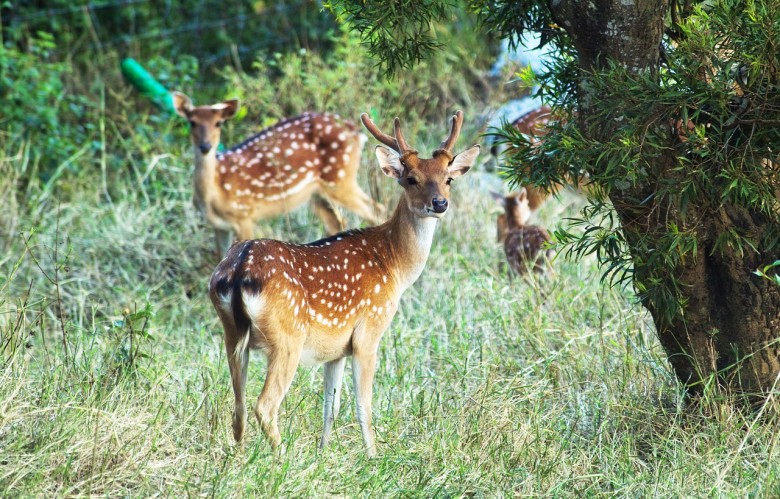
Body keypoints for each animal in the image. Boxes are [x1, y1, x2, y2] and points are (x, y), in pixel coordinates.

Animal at [174, 91, 386, 254]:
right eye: (192, 122)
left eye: (219, 123)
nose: (205, 146)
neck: (216, 193)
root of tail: (357, 132)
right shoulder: (219, 226)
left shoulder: (245, 215)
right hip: (317, 193)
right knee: (338, 223)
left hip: (339, 179)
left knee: (376, 209)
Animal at [210, 110, 482, 458]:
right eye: (411, 179)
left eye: (448, 179)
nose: (439, 203)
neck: (393, 266)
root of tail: (239, 268)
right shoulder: (369, 331)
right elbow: (363, 405)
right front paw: (373, 457)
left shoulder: (336, 349)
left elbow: (331, 407)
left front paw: (323, 454)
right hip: (287, 338)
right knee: (264, 405)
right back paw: (283, 458)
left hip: (232, 334)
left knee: (238, 407)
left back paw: (242, 457)